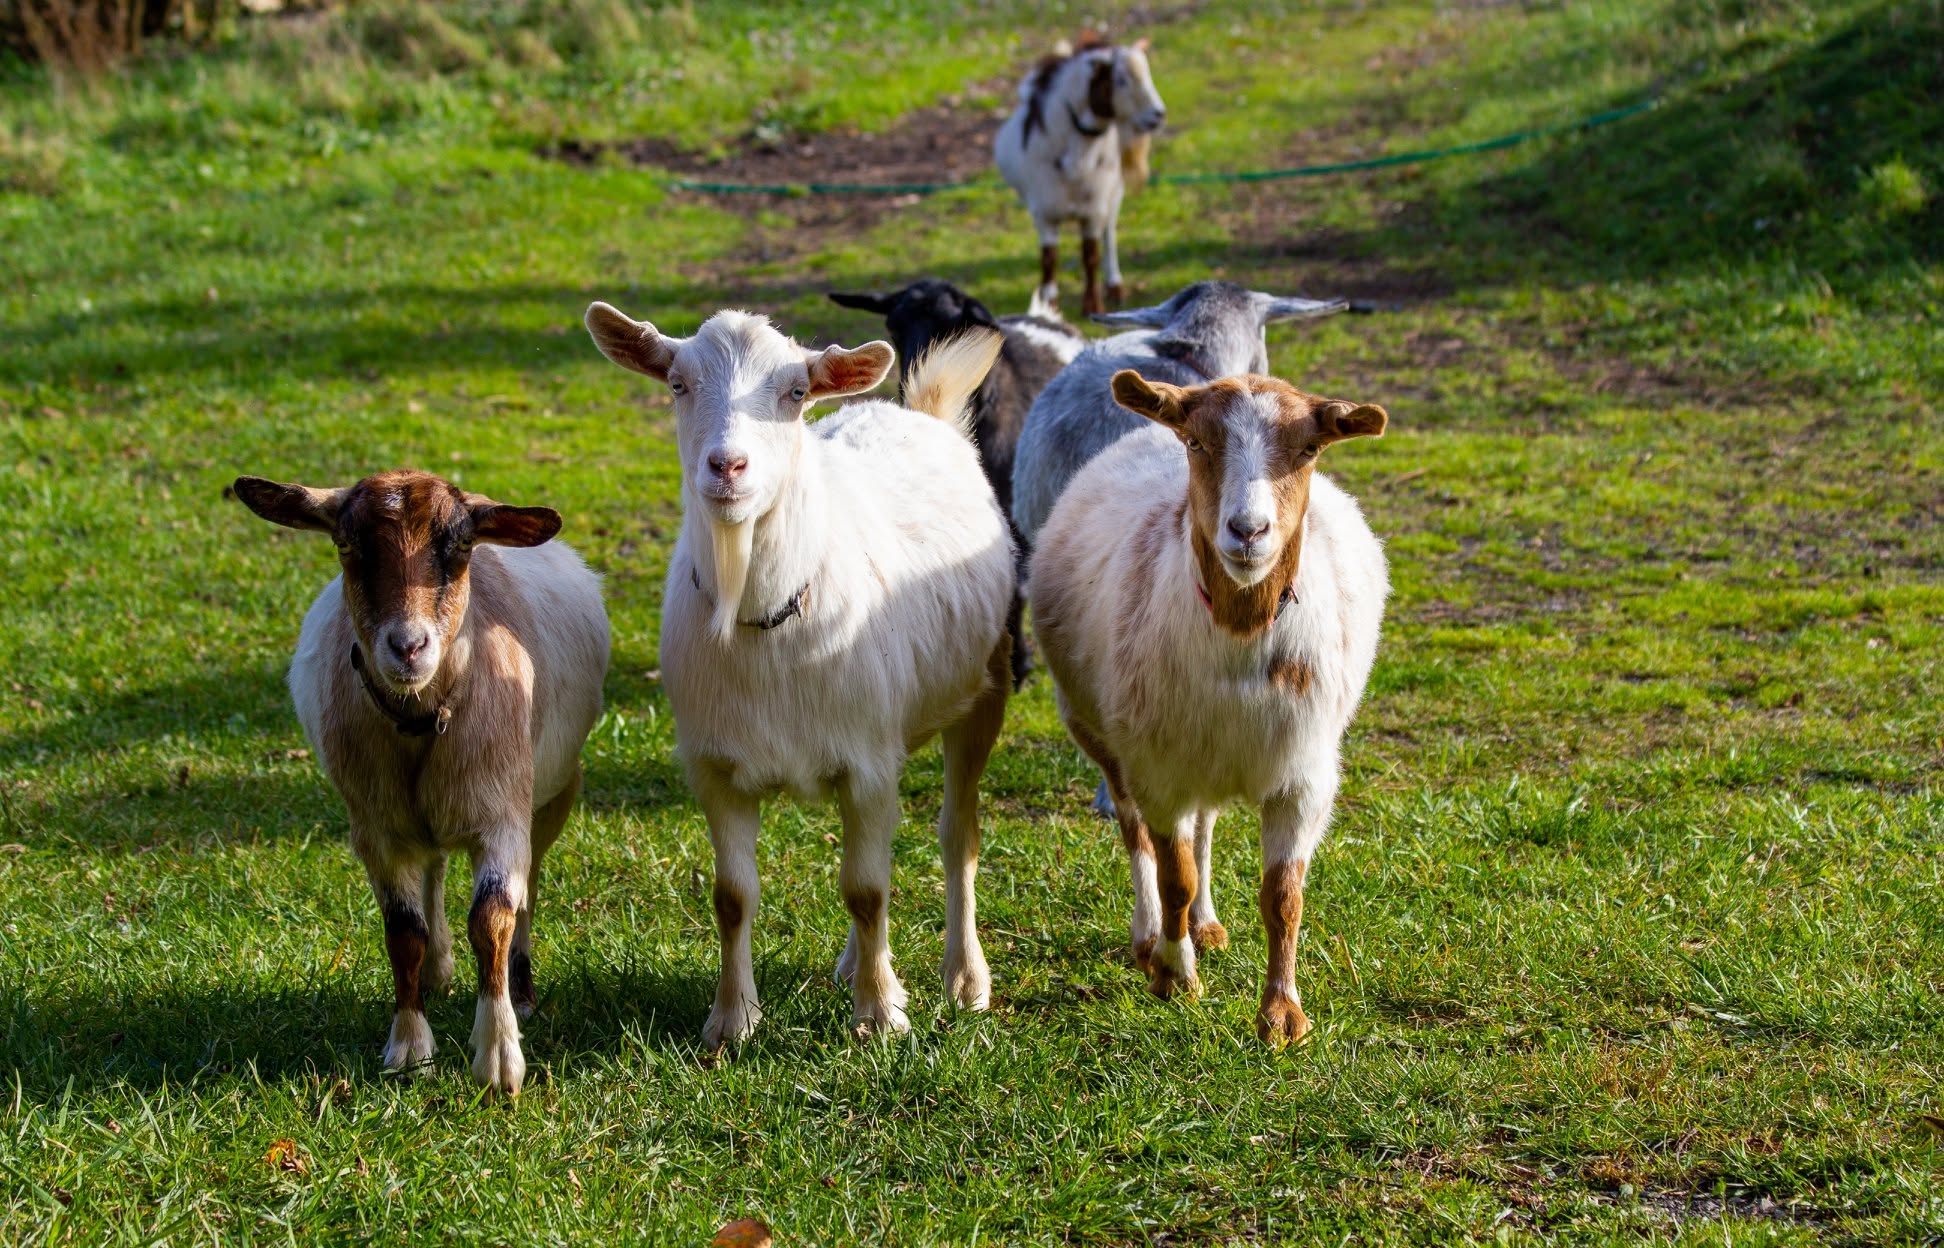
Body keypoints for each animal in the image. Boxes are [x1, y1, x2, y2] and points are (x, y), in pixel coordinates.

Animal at [231, 469, 610, 1095]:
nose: (408, 648)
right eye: (347, 545)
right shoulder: (377, 832)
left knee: (527, 889)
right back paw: (438, 971)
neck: (423, 715)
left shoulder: (502, 816)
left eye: (459, 547)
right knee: (432, 868)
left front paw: (499, 1058)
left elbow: (493, 918)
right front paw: (410, 1048)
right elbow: (402, 933)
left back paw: (522, 992)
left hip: (554, 792)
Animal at [584, 302, 1014, 1049]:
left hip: (982, 693)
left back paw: (964, 980)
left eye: (793, 392)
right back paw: (855, 964)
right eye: (677, 383)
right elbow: (734, 897)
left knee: (957, 835)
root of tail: (918, 413)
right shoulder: (716, 767)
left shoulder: (867, 763)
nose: (727, 465)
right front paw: (731, 1020)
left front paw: (879, 1017)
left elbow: (867, 890)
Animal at [994, 33, 1166, 316]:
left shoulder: (1093, 209)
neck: (1077, 161)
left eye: (1148, 73)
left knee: (1110, 233)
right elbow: (1049, 258)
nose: (1158, 115)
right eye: (1121, 79)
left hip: (1114, 192)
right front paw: (1049, 302)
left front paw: (1093, 304)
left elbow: (1091, 255)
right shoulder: (1044, 211)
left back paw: (1114, 284)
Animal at [1028, 371, 1388, 1045]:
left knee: (1206, 827)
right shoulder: (1158, 767)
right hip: (1102, 733)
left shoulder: (1304, 774)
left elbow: (1283, 895)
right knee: (1136, 832)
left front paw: (1282, 1014)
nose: (1248, 531)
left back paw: (1206, 924)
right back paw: (1152, 938)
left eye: (1309, 449)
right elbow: (1173, 874)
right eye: (1196, 442)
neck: (1242, 632)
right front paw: (1175, 976)